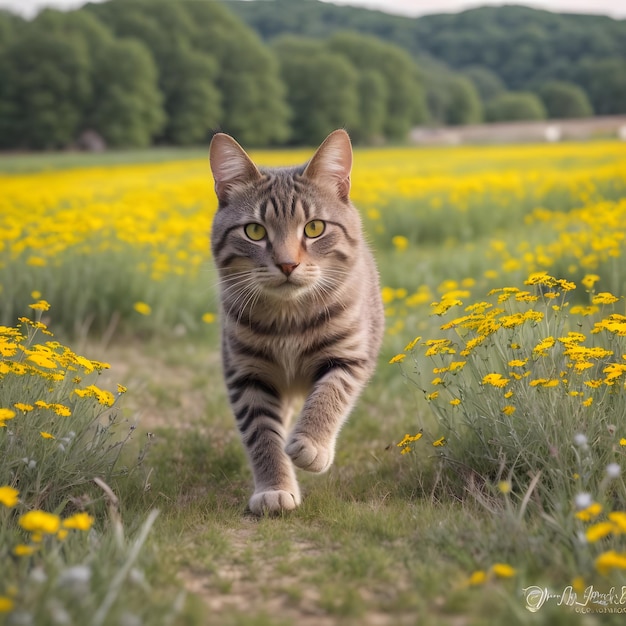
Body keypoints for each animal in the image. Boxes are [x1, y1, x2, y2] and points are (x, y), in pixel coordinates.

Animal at [210, 128, 382, 512]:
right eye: (255, 231)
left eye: (314, 228)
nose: (288, 264)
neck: (288, 316)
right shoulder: (247, 373)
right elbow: (262, 434)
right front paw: (274, 486)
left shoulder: (349, 355)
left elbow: (330, 395)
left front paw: (311, 443)